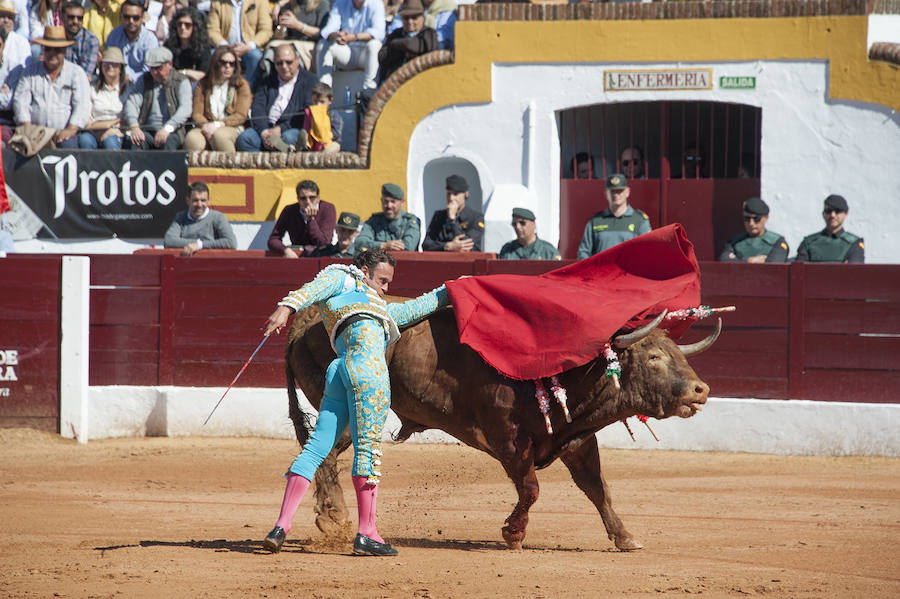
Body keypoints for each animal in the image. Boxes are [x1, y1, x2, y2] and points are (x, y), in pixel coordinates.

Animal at [284, 304, 720, 552]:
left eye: (679, 353)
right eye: (654, 357)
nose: (701, 390)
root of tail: (302, 322)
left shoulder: (577, 441)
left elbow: (598, 489)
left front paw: (625, 537)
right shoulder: (508, 439)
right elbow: (531, 488)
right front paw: (513, 533)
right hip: (348, 409)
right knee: (324, 455)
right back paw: (334, 518)